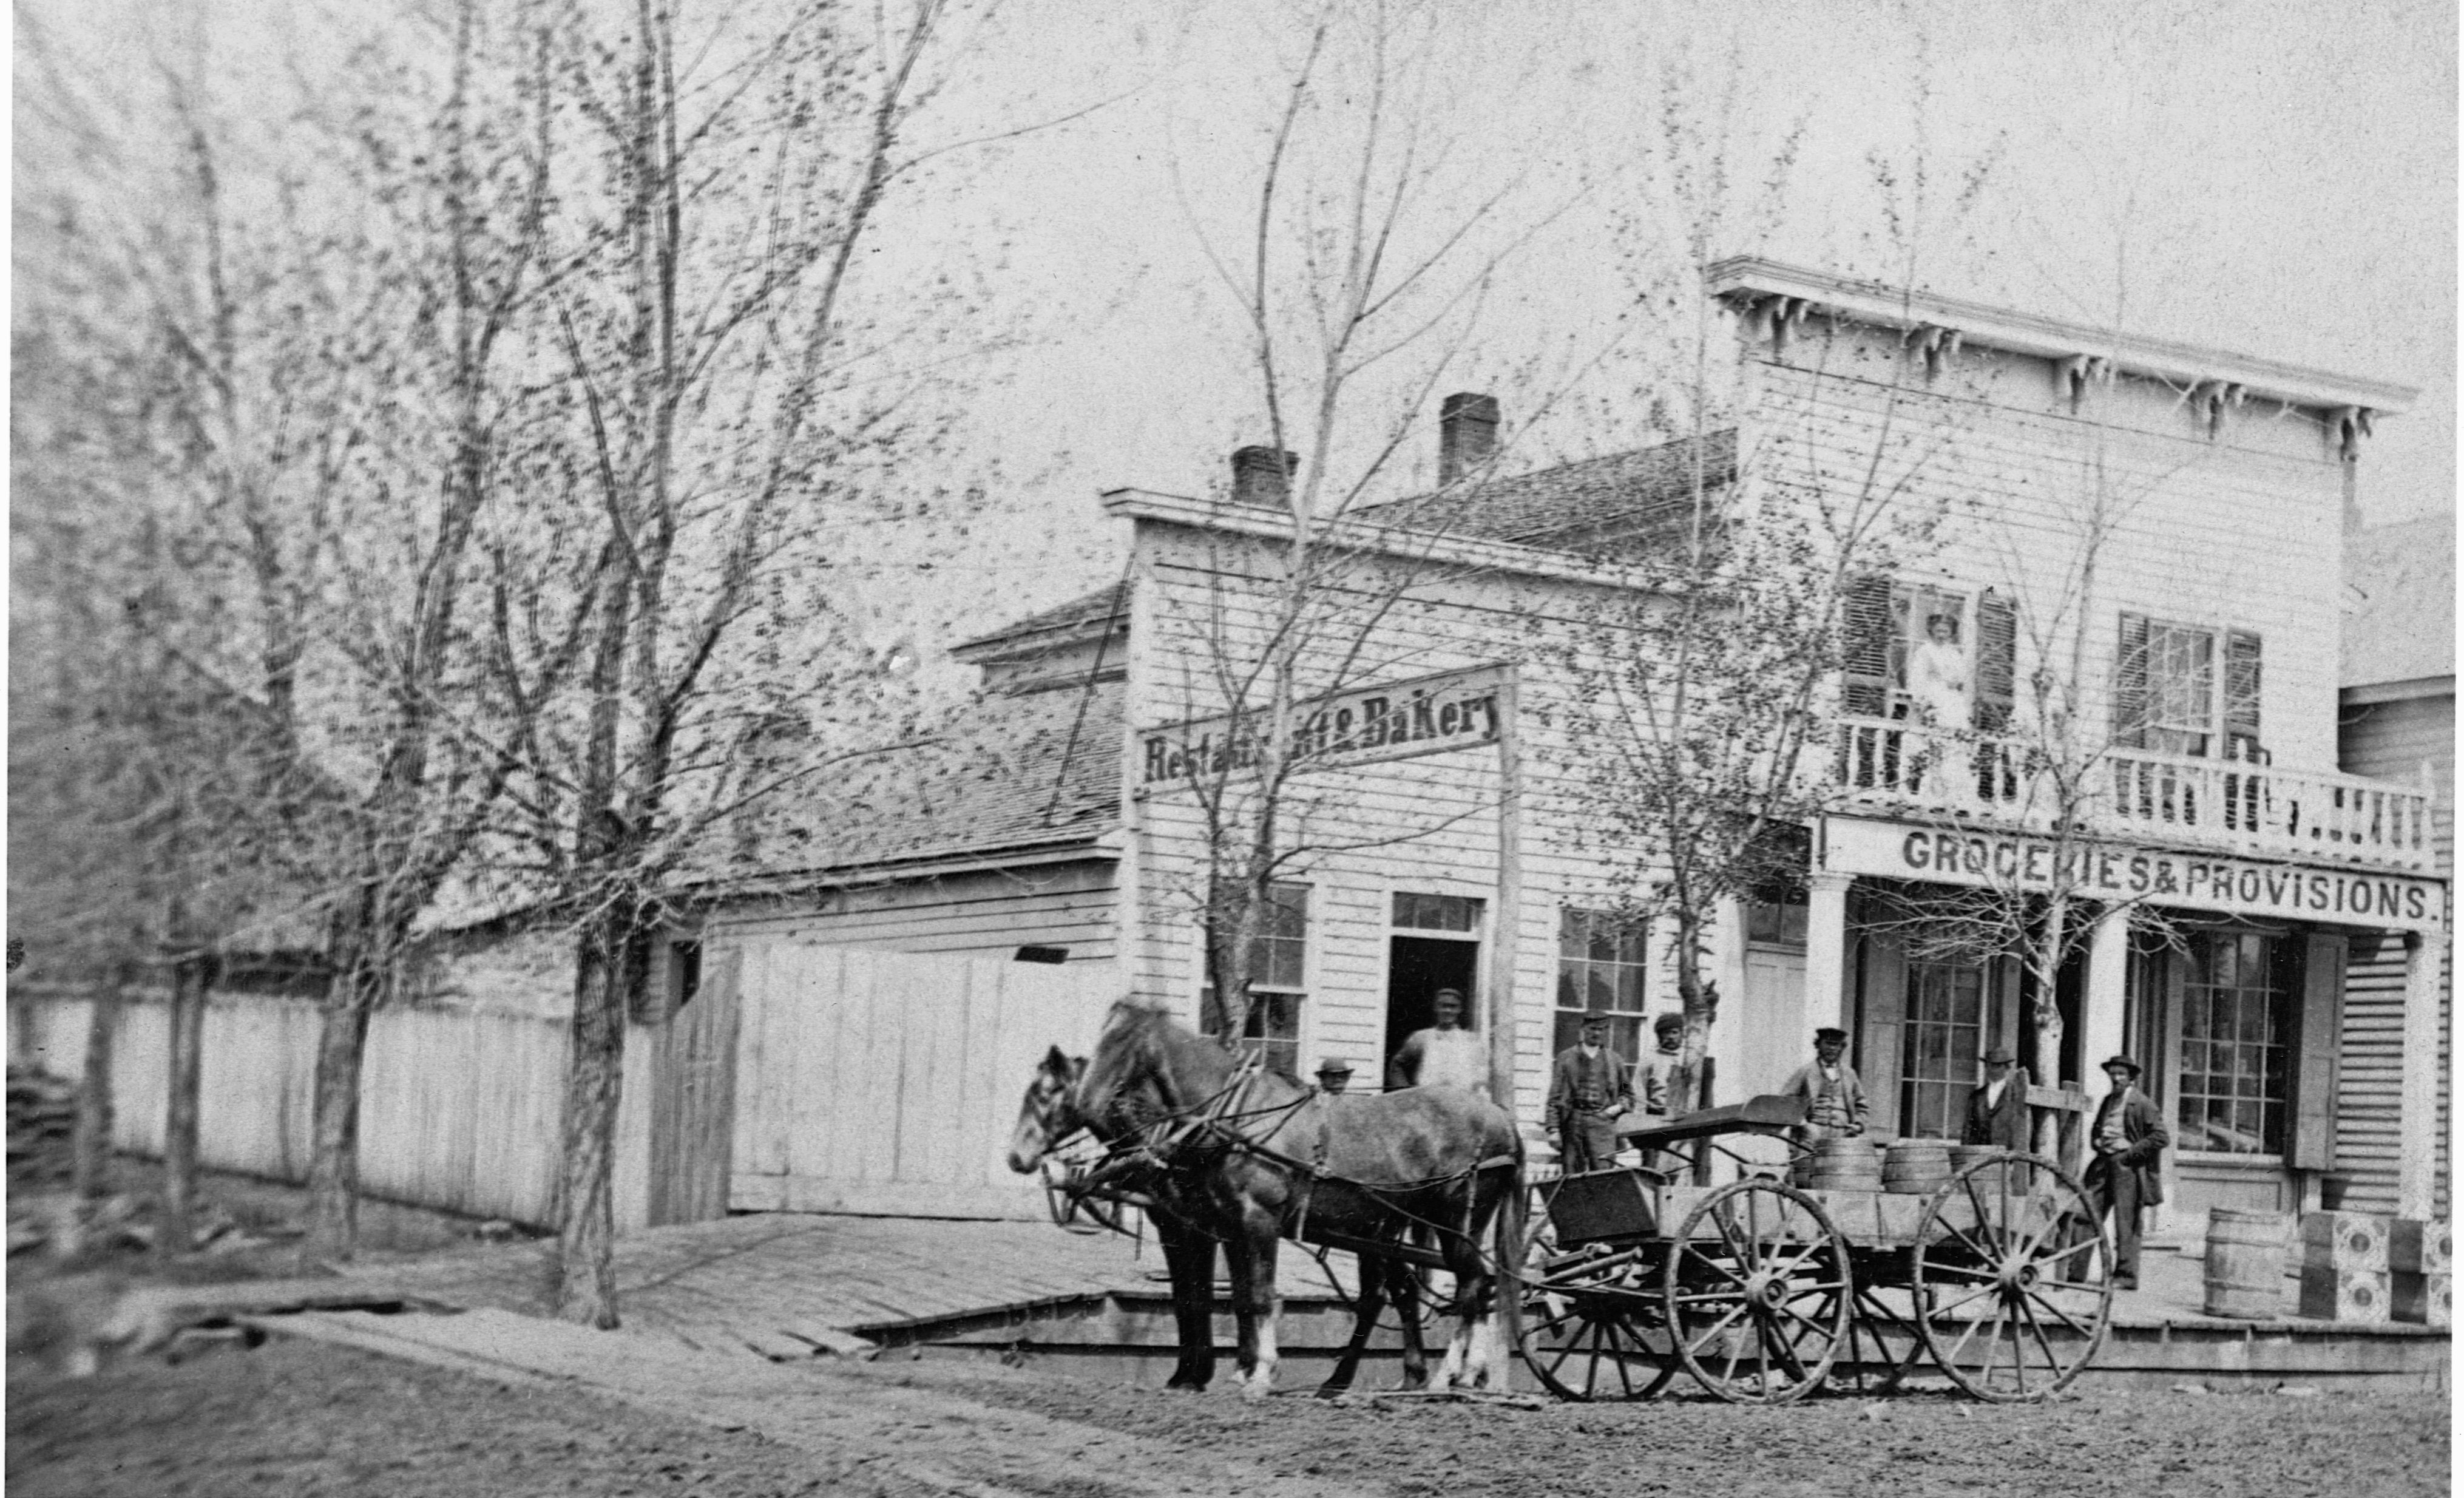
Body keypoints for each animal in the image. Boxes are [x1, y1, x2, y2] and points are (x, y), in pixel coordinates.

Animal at [1040, 1000, 1517, 1399]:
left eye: (1120, 1044)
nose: (1085, 1100)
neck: (1233, 1119)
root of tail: (1500, 1117)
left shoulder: (1257, 1221)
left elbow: (1259, 1295)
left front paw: (1260, 1373)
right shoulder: (1228, 1224)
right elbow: (1237, 1297)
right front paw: (1239, 1371)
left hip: (1456, 1223)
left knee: (1470, 1288)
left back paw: (1449, 1375)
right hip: (1397, 1230)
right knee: (1455, 1288)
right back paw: (1447, 1375)